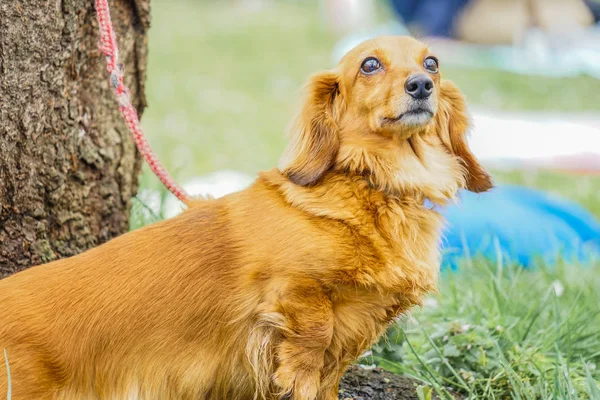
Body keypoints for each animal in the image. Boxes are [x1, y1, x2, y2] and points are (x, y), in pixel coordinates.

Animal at [0, 36, 488, 398]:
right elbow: (315, 336)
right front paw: (296, 379)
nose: (421, 85)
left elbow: (333, 366)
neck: (374, 186)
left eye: (432, 62)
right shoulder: (292, 287)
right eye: (370, 64)